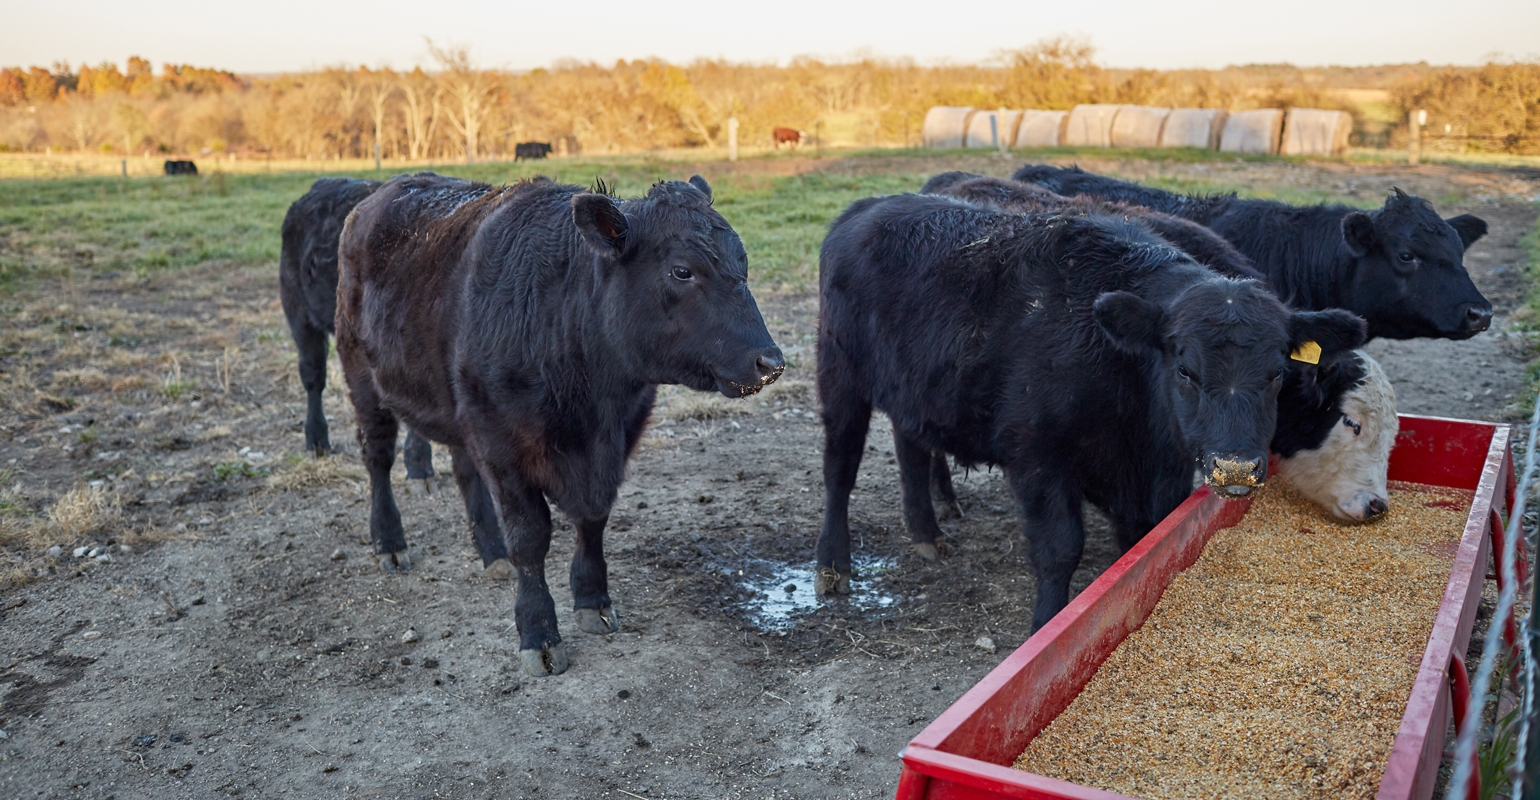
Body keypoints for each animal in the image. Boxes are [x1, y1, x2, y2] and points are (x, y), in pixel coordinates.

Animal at [335, 170, 782, 675]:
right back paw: (389, 542)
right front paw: (538, 631)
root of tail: (384, 192)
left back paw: (490, 552)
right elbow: (531, 537)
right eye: (682, 270)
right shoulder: (502, 445)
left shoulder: (614, 443)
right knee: (378, 457)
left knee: (463, 470)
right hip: (362, 377)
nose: (771, 362)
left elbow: (593, 518)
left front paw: (593, 599)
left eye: (742, 262)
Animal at [819, 194, 1361, 631]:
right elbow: (1061, 550)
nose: (1235, 468)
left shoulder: (1156, 477)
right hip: (840, 378)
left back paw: (927, 533)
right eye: (1185, 369)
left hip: (911, 391)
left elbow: (1146, 544)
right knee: (840, 468)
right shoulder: (1037, 457)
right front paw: (1045, 625)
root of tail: (869, 207)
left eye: (1277, 372)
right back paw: (833, 565)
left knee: (910, 448)